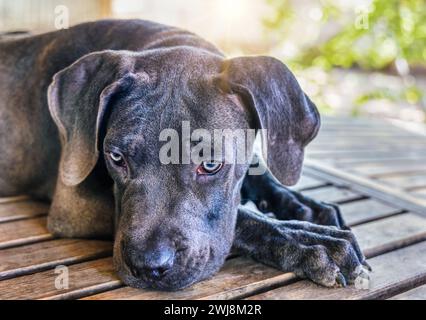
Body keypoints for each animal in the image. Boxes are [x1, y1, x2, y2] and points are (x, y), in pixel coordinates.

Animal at [0, 19, 370, 290]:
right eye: (116, 158)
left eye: (210, 164)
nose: (148, 268)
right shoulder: (73, 204)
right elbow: (241, 219)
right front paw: (308, 241)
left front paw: (302, 205)